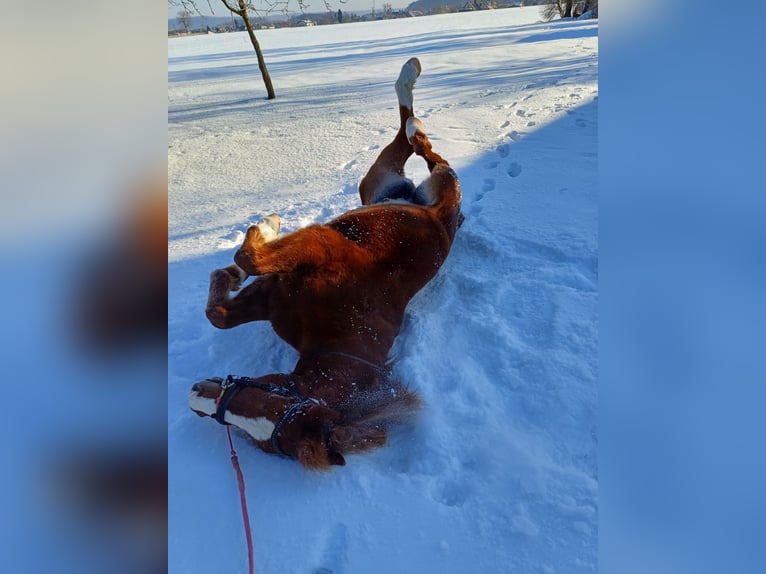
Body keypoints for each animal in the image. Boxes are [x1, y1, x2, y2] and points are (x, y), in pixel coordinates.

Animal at [189, 57, 463, 470]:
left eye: (264, 411)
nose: (194, 397)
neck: (333, 340)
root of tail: (439, 216)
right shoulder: (274, 293)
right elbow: (221, 310)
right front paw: (242, 262)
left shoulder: (321, 245)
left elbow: (248, 260)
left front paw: (266, 227)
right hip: (375, 181)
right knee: (406, 137)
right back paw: (409, 78)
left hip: (440, 182)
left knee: (428, 152)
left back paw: (416, 117)